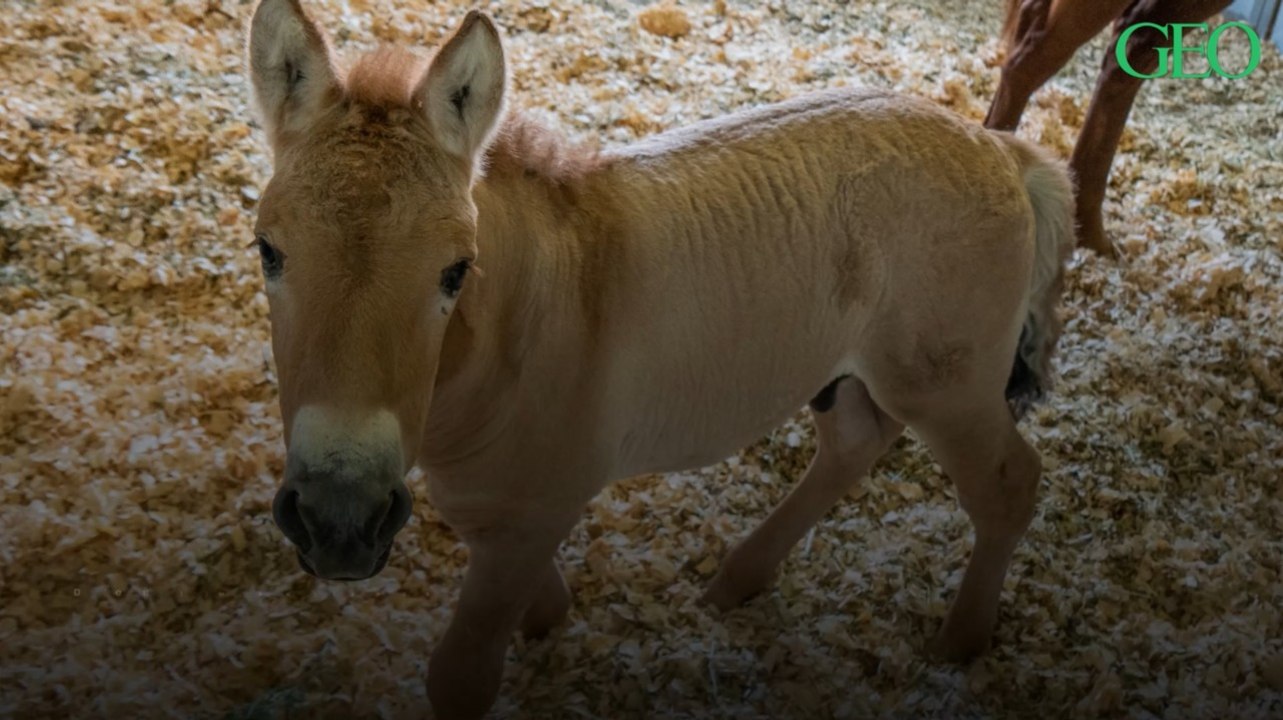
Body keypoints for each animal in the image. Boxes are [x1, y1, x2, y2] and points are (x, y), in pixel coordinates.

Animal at [245, 1, 1075, 716]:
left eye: (456, 271)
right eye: (267, 251)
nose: (338, 519)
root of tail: (1000, 149)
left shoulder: (534, 510)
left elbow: (462, 675)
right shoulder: (492, 504)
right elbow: (532, 595)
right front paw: (550, 623)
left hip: (945, 387)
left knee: (1007, 483)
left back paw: (960, 640)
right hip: (846, 372)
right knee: (853, 444)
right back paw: (739, 579)